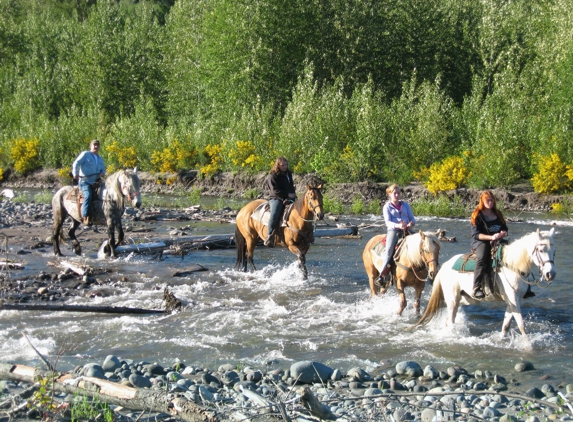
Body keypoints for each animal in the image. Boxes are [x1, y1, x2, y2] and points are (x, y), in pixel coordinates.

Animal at [416, 227, 556, 336]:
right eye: (541, 250)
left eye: (554, 252)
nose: (551, 274)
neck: (512, 265)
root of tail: (444, 266)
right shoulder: (513, 298)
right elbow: (521, 325)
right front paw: (528, 347)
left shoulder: (513, 301)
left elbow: (506, 325)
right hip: (452, 299)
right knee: (450, 321)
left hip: (464, 299)